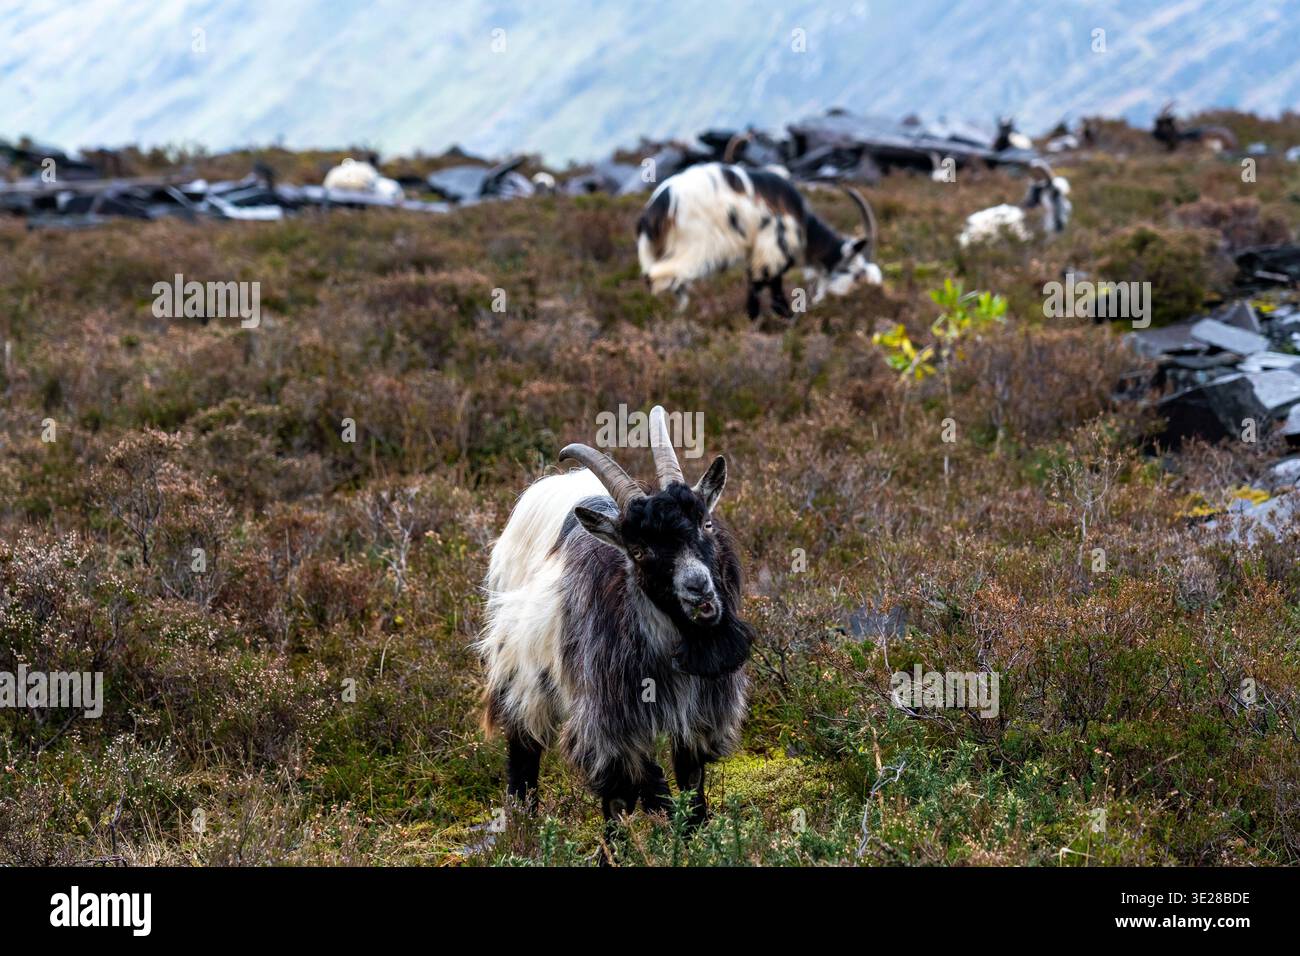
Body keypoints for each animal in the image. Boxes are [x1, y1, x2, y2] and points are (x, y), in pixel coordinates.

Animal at [477, 406, 753, 850]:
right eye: (638, 551)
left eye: (706, 524)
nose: (698, 589)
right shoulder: (608, 720)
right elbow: (618, 797)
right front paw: (617, 850)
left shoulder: (701, 710)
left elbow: (691, 780)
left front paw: (694, 839)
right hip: (520, 668)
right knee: (524, 745)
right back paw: (524, 829)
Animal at [637, 162, 881, 319]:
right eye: (856, 273)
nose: (850, 299)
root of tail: (658, 207)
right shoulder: (773, 245)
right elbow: (766, 283)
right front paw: (779, 317)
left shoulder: (758, 250)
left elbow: (758, 282)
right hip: (694, 246)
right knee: (658, 275)